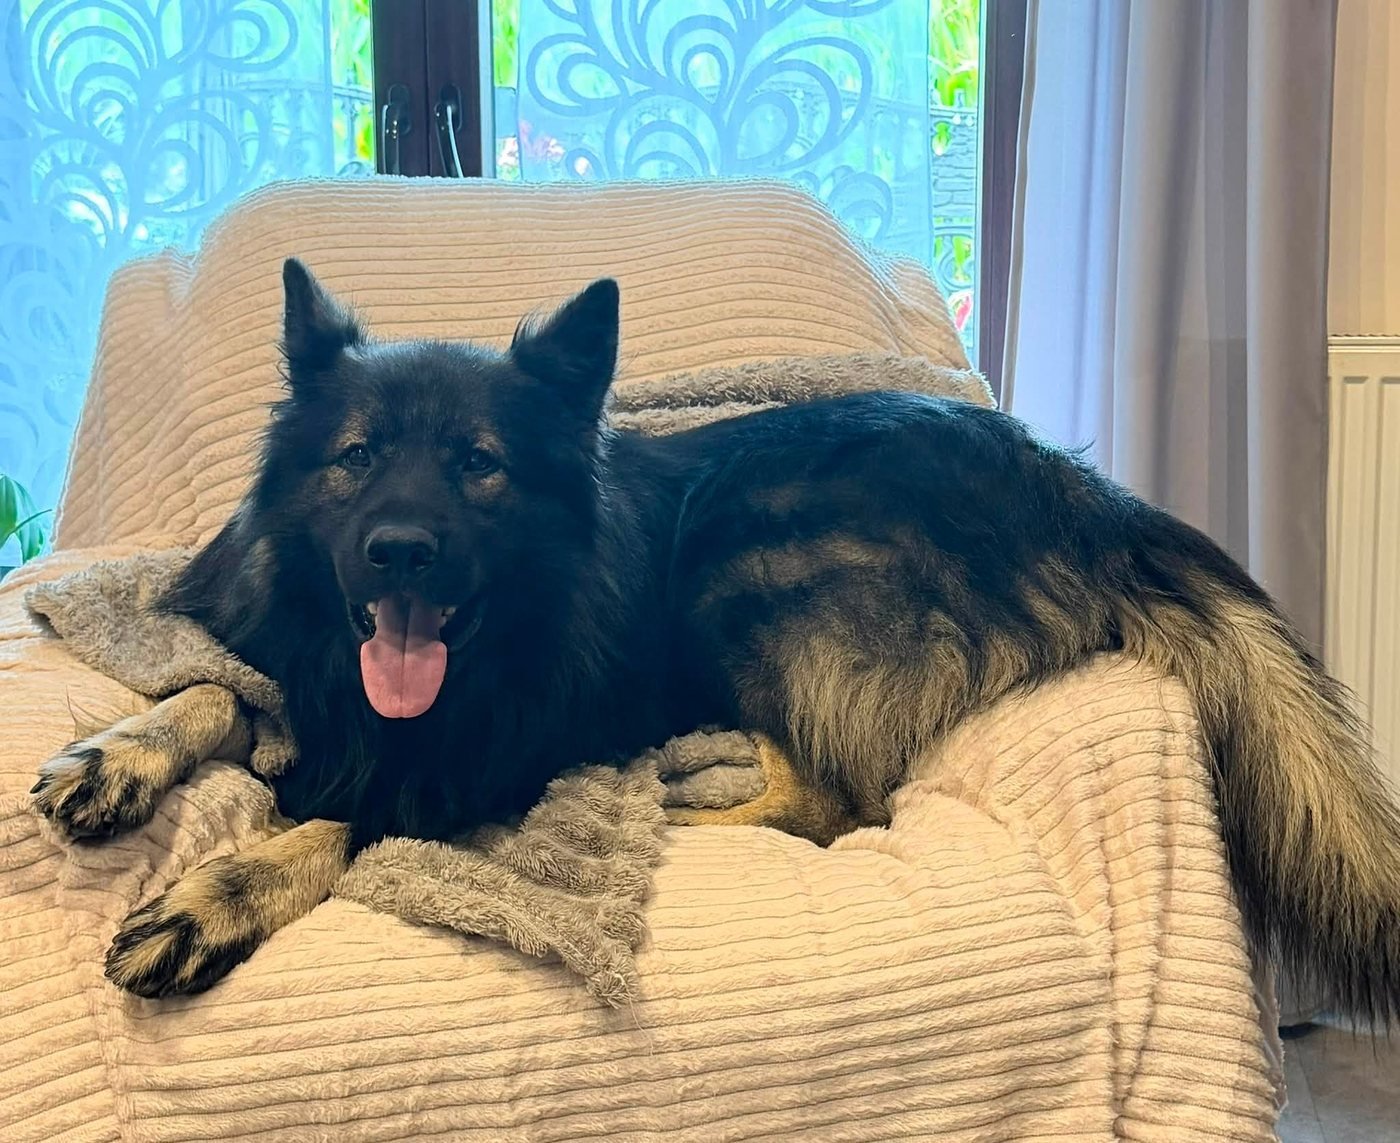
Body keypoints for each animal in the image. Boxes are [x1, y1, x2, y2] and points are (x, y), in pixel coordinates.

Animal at [32, 260, 1400, 1027]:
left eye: (479, 467)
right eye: (355, 457)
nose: (400, 553)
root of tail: (1076, 492)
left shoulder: (479, 766)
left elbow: (345, 818)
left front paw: (216, 895)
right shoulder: (285, 660)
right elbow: (220, 692)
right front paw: (117, 753)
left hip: (740, 564)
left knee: (841, 799)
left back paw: (681, 795)